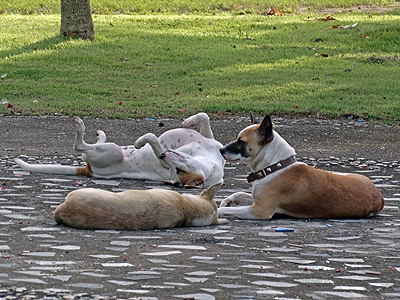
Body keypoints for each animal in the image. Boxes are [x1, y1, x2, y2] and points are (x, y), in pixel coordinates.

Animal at [219, 115, 384, 220]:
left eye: (241, 141)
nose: (220, 150)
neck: (275, 166)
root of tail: (380, 198)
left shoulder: (259, 210)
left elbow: (223, 209)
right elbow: (239, 194)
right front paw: (228, 200)